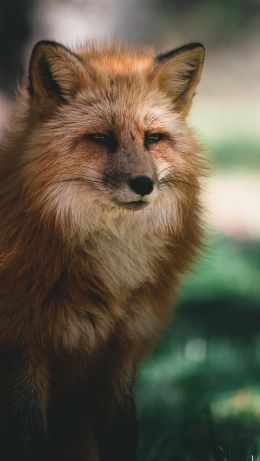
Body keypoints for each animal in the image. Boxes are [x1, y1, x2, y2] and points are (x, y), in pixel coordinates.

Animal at [0, 40, 205, 460]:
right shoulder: (22, 348)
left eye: (153, 139)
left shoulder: (120, 351)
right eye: (101, 139)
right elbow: (30, 442)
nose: (143, 184)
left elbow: (123, 437)